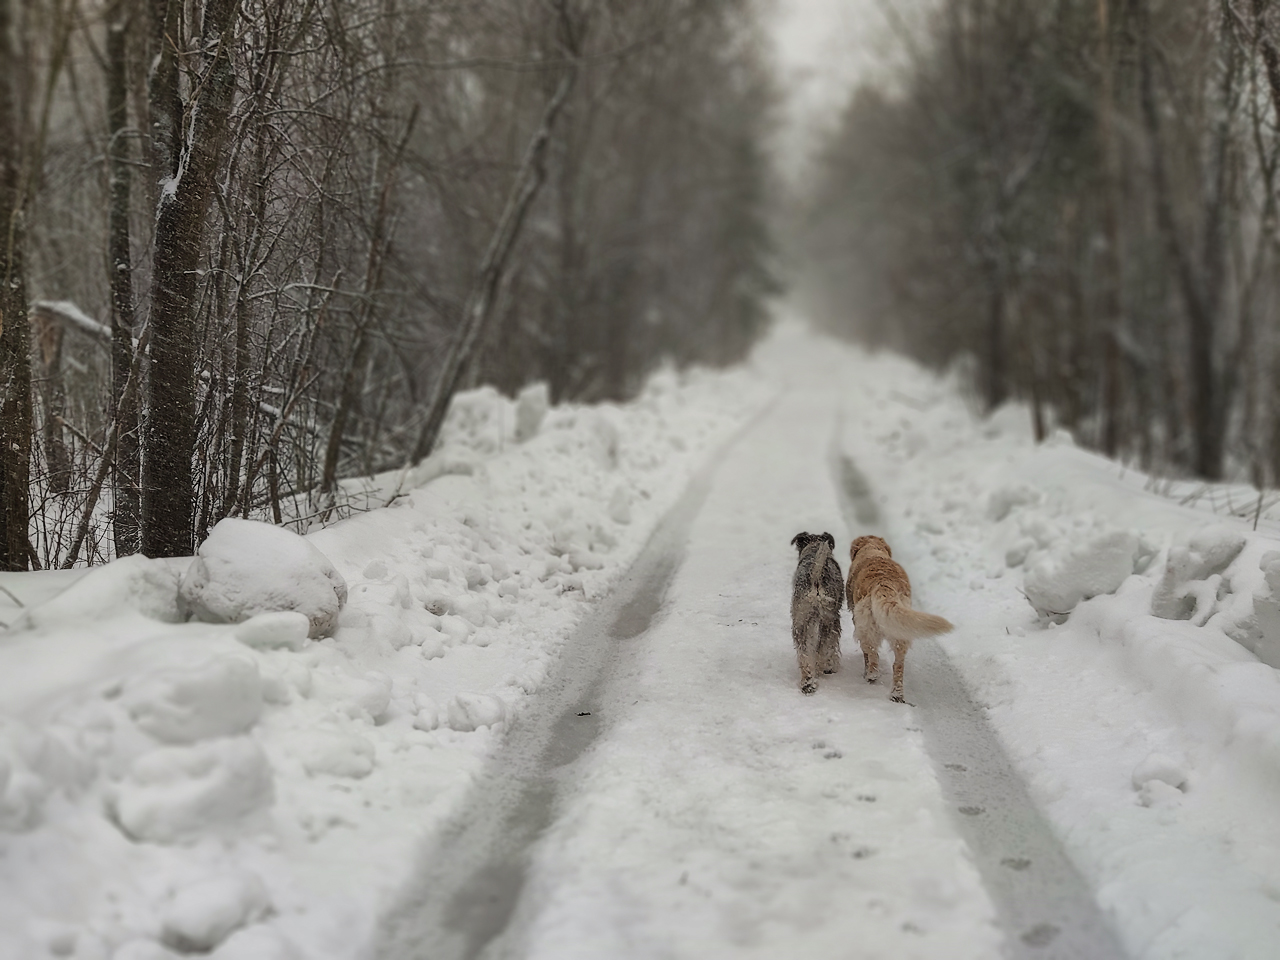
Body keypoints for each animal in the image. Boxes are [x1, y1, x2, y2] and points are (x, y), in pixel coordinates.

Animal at [783, 529, 844, 696]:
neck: (814, 547)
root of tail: (815, 578)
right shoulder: (834, 618)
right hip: (829, 620)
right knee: (823, 647)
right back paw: (824, 668)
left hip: (799, 621)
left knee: (804, 653)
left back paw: (808, 683)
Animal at [849, 537, 952, 701]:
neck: (872, 549)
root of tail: (883, 583)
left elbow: (866, 654)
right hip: (900, 629)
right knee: (898, 665)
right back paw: (897, 694)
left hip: (867, 627)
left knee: (872, 654)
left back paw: (871, 675)